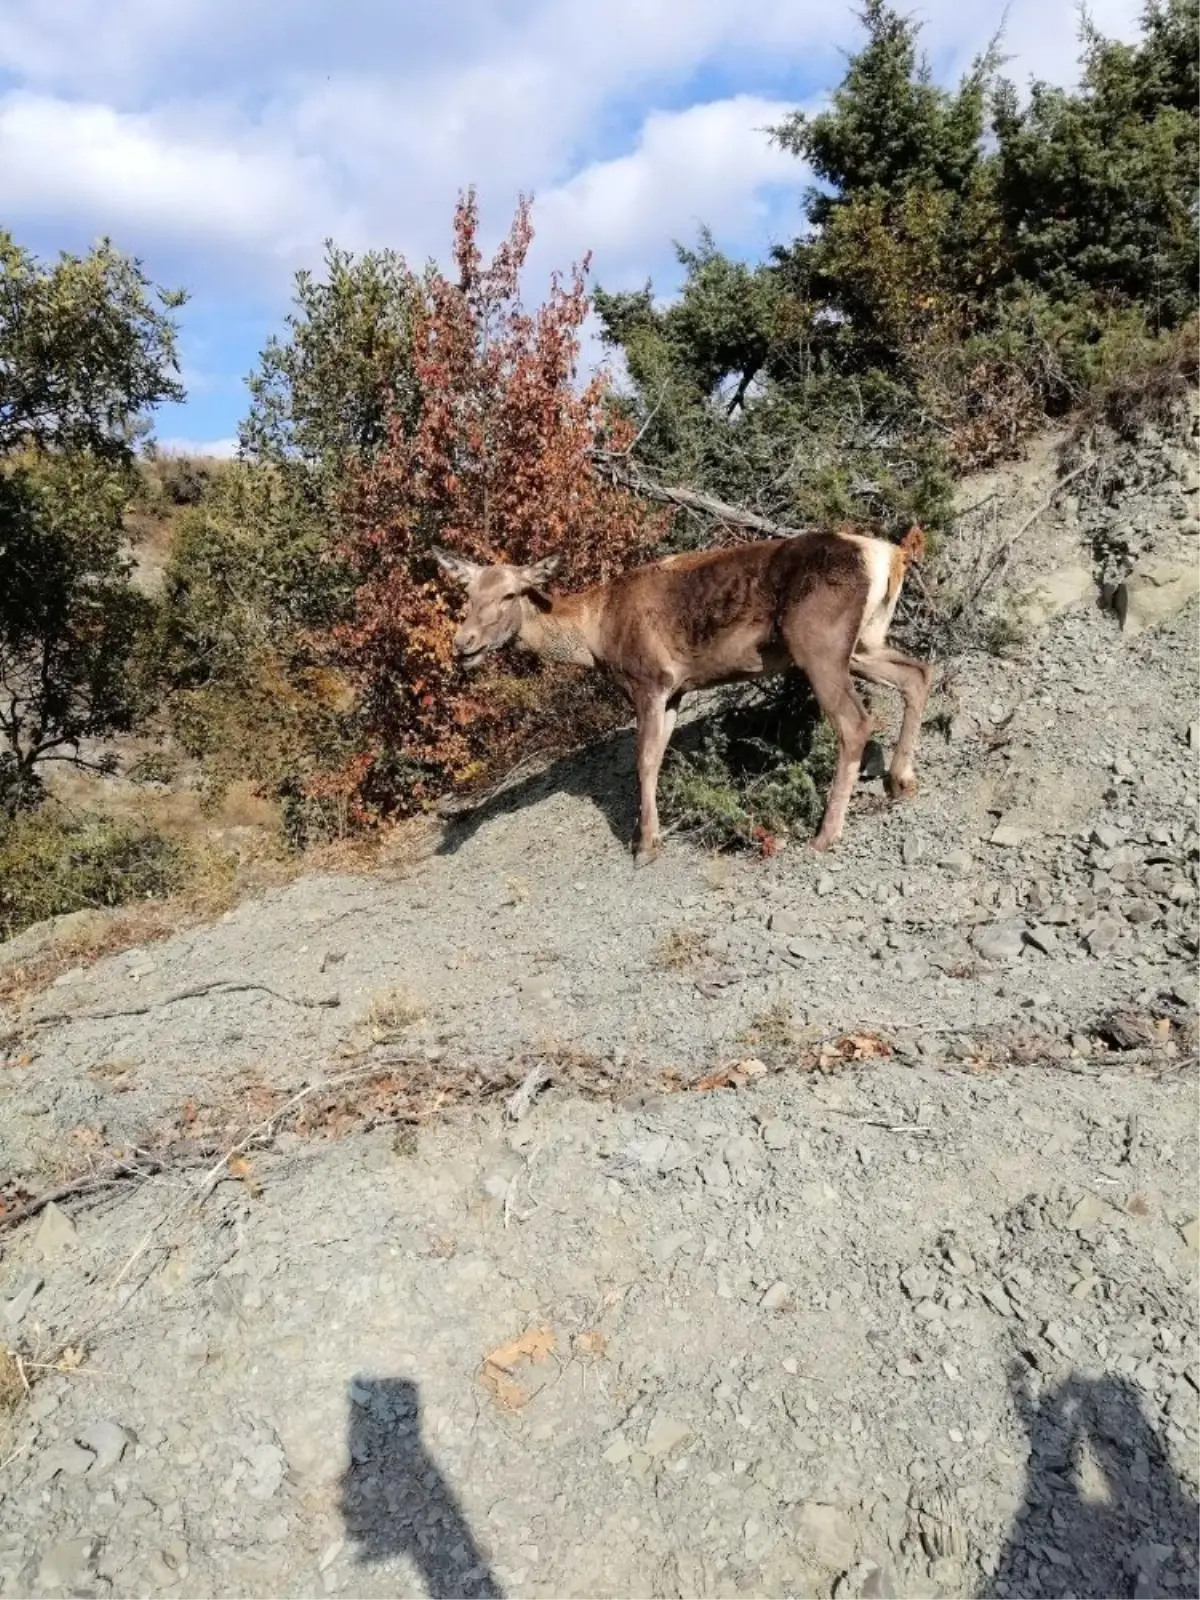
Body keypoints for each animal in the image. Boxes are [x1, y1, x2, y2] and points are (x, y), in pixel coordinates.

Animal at [438, 528, 934, 870]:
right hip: (864, 643)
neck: (595, 635)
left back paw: (826, 834)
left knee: (855, 721)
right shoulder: (677, 689)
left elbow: (643, 761)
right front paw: (646, 835)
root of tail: (890, 556)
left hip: (819, 642)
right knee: (918, 673)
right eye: (467, 594)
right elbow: (658, 758)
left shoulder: (649, 679)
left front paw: (645, 845)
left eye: (509, 594)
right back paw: (901, 781)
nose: (463, 643)